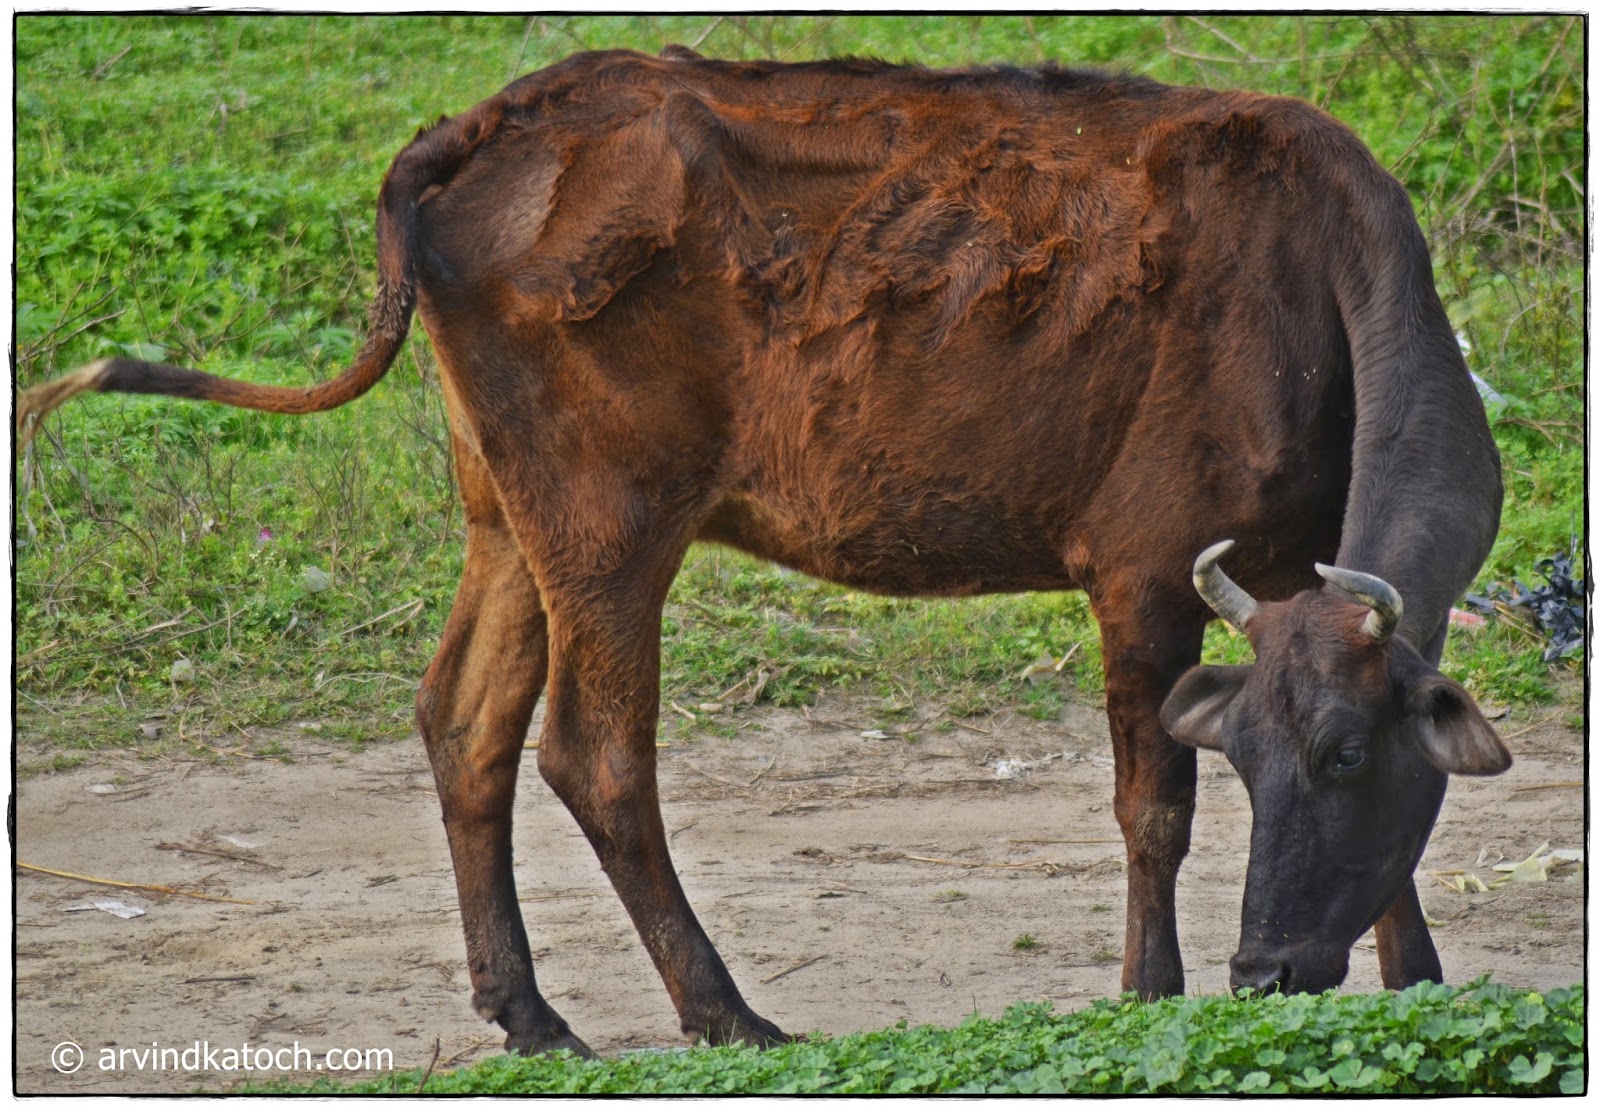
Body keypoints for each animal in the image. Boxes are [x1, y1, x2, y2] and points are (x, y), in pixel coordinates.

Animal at [17, 47, 1510, 1055]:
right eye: (1272, 758)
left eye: (1339, 755)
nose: (1265, 968)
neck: (1317, 286)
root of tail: (480, 126)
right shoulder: (1143, 560)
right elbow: (1154, 804)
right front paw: (1152, 997)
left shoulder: (1291, 571)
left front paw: (1416, 979)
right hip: (611, 516)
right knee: (592, 752)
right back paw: (726, 1011)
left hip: (505, 511)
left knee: (465, 721)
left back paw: (532, 1012)